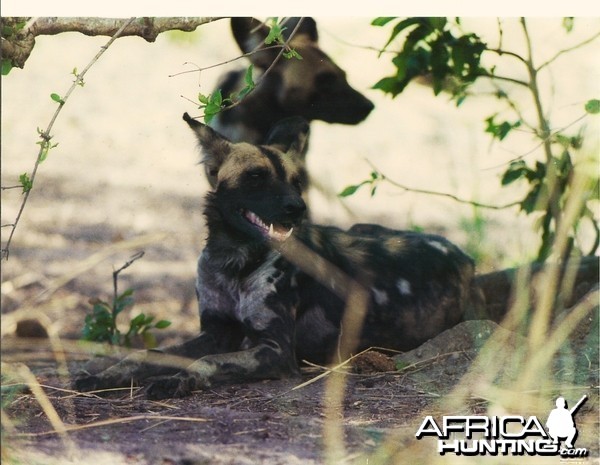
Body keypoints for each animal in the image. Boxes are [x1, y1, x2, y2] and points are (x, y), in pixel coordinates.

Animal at [75, 112, 476, 398]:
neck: (233, 261)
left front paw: (178, 380)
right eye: (255, 177)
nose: (297, 208)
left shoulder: (274, 350)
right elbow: (148, 355)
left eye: (297, 182)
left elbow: (207, 362)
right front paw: (104, 375)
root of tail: (462, 255)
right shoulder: (216, 333)